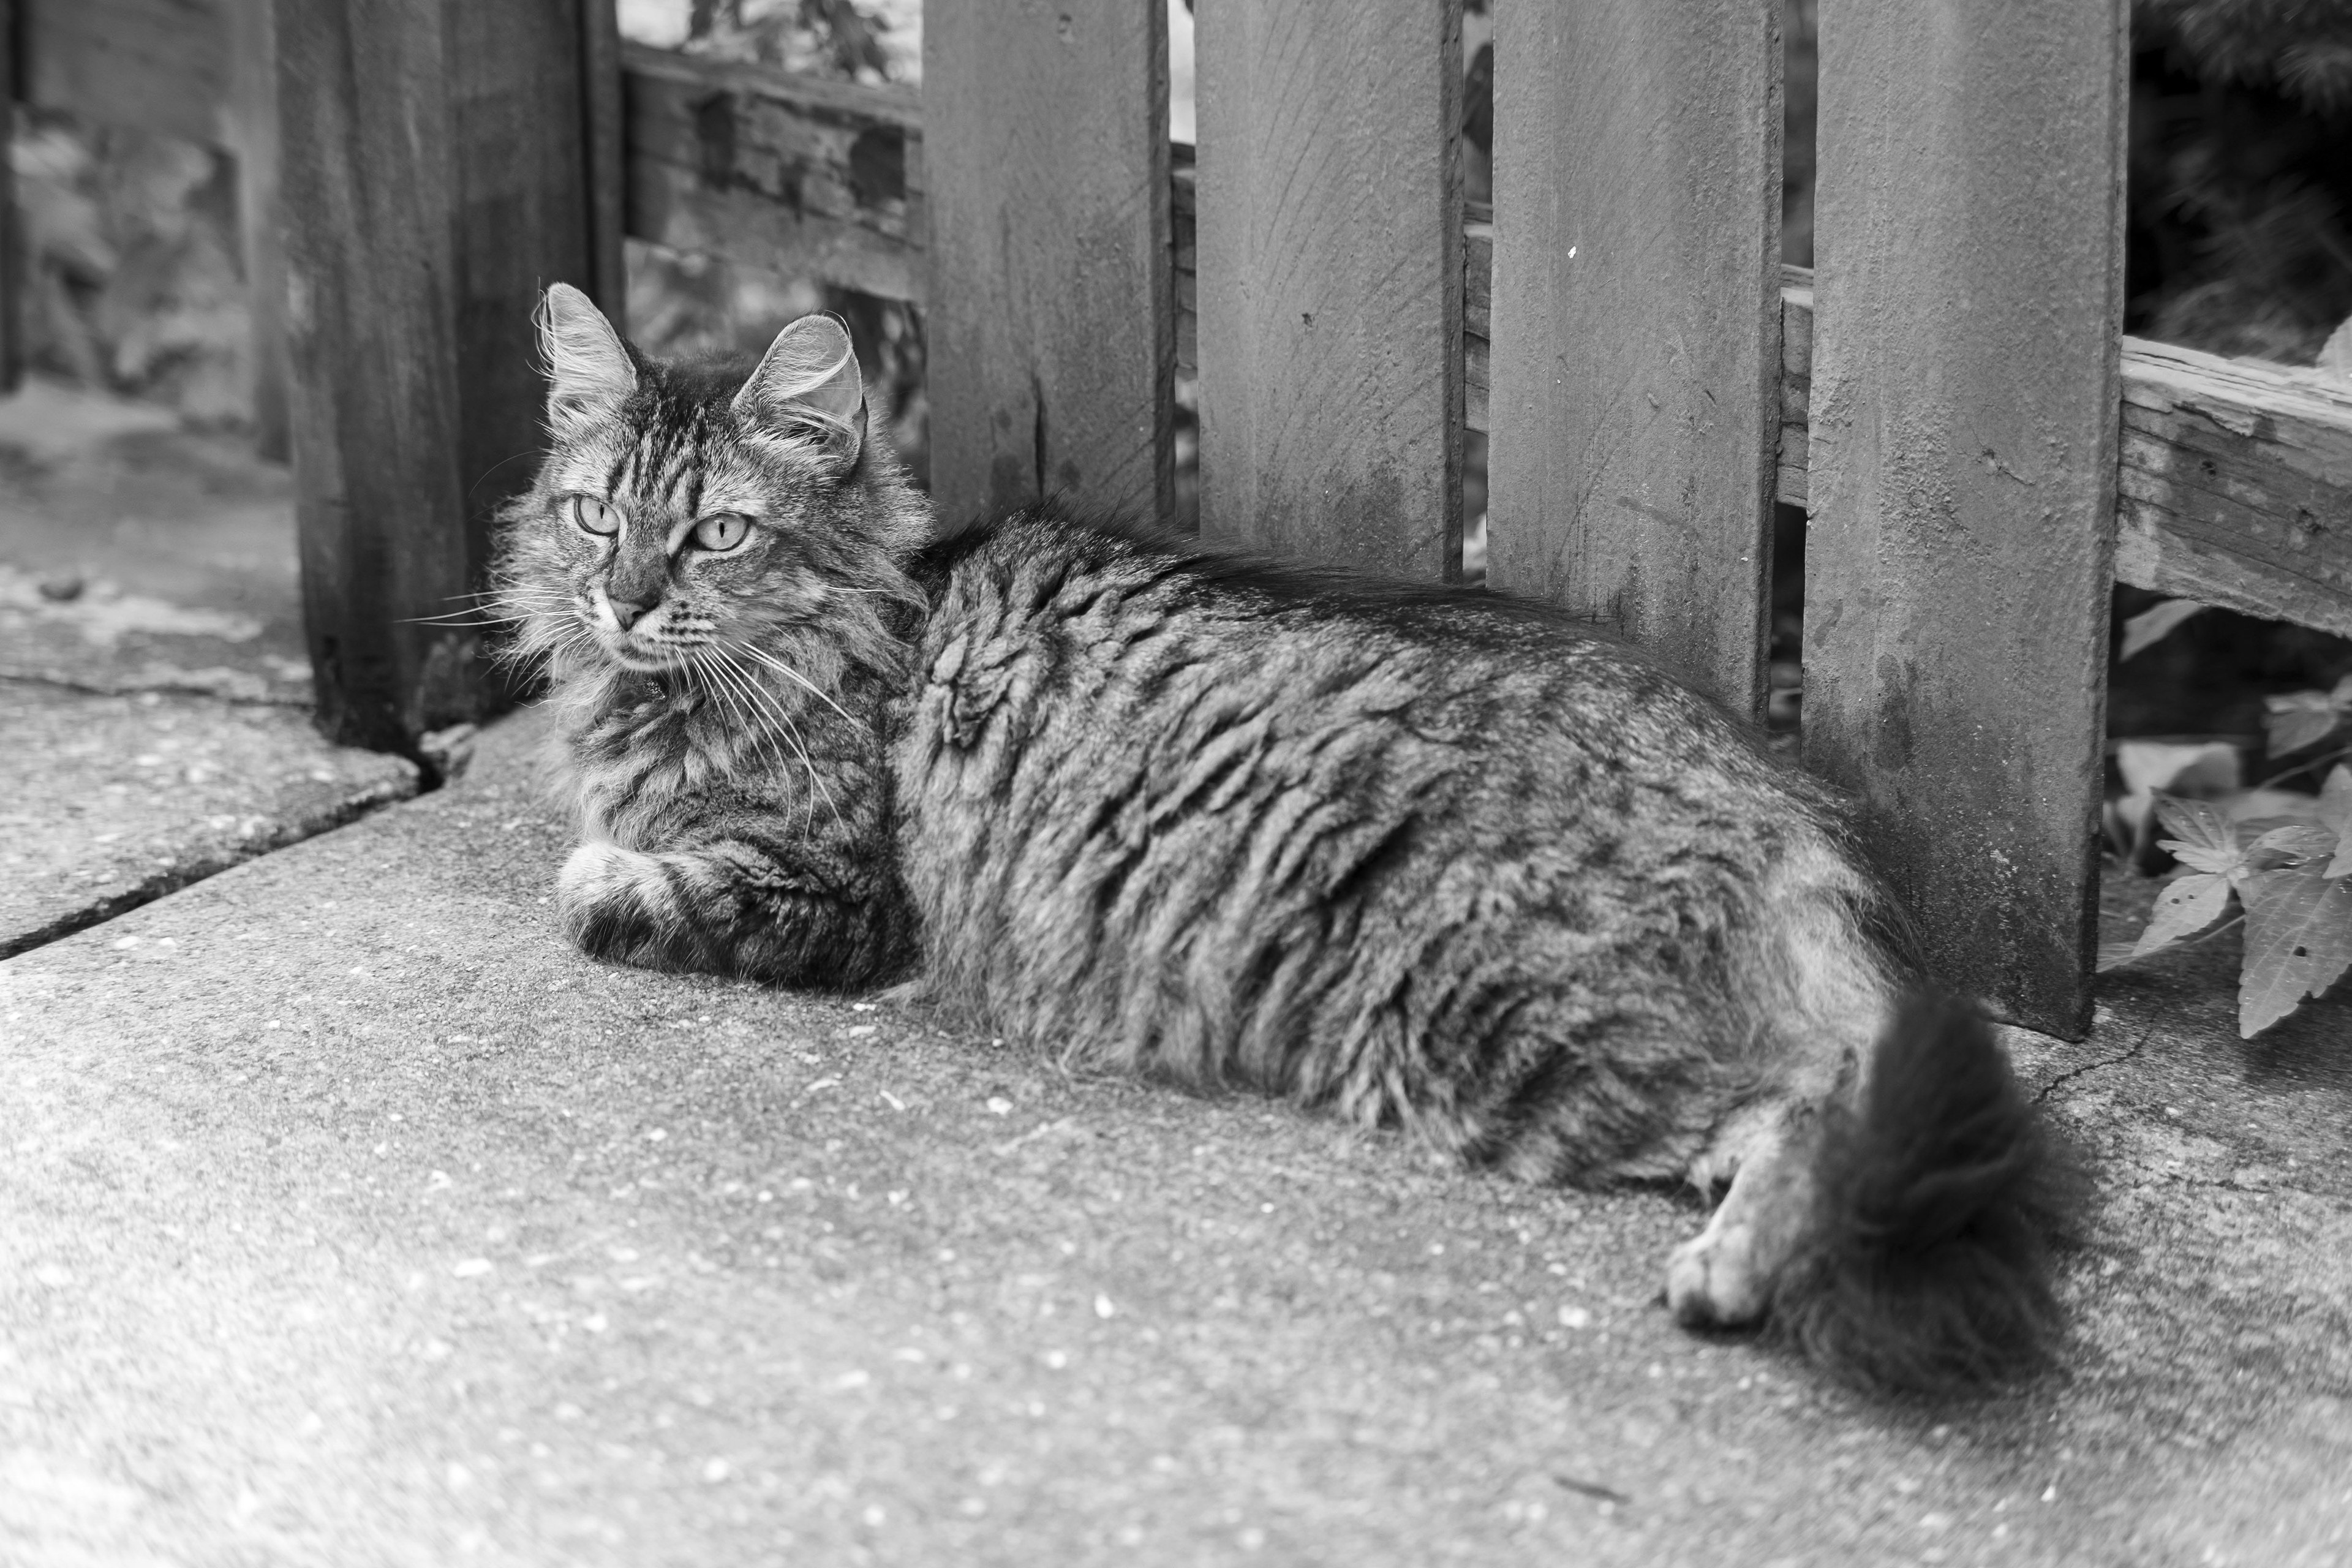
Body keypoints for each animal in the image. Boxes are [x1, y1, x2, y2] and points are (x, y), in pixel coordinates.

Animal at [498, 284, 2081, 1393]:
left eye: (716, 535)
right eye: (595, 517)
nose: (622, 601)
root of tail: (1761, 779)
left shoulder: (839, 892)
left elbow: (606, 885)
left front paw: (598, 870)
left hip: (1491, 1020)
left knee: (1814, 1105)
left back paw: (1724, 1275)